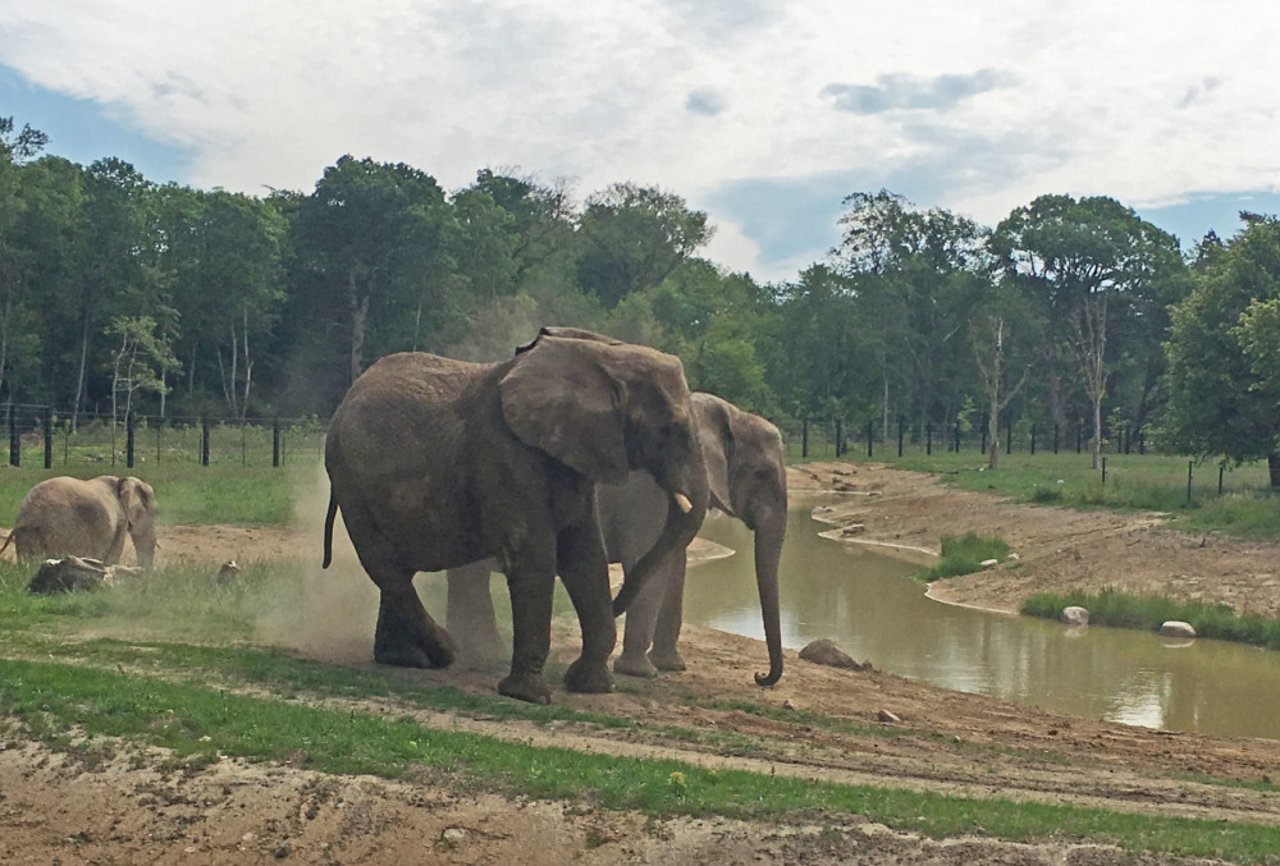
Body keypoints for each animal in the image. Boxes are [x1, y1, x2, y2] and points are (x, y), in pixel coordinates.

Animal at [0, 473, 158, 567]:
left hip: (30, 532)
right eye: (155, 511)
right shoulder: (121, 518)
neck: (123, 480)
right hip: (61, 528)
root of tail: (27, 515)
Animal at [325, 326, 711, 700]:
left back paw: (406, 660)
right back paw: (444, 653)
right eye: (667, 429)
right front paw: (529, 696)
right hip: (349, 479)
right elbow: (535, 557)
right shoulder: (506, 454)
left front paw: (592, 686)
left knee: (396, 570)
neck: (601, 355)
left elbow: (585, 555)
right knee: (386, 566)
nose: (618, 604)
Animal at [450, 388, 788, 685]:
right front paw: (641, 673)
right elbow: (650, 565)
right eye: (761, 475)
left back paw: (474, 652)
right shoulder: (646, 491)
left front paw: (672, 667)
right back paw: (481, 654)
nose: (759, 676)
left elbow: (674, 569)